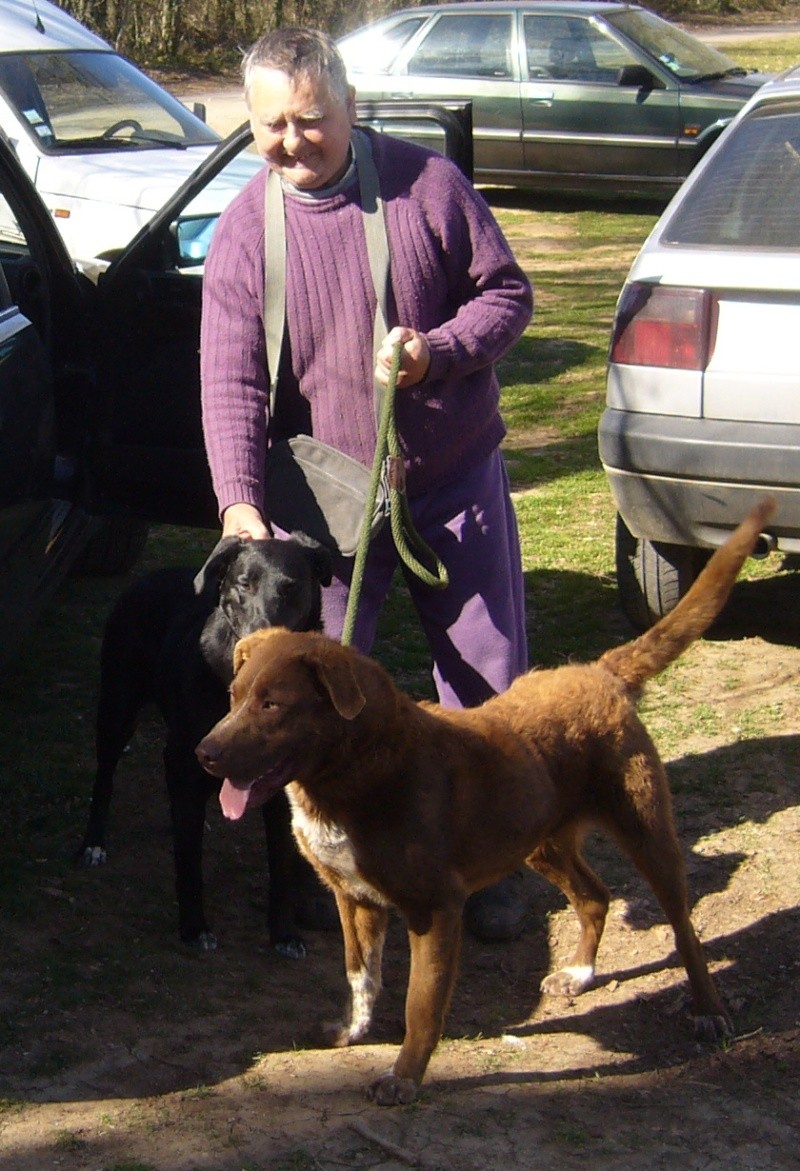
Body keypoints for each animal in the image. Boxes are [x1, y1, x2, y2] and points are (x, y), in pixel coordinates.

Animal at [77, 536, 332, 955]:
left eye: (292, 587)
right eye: (244, 583)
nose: (265, 638)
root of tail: (150, 576)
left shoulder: (281, 789)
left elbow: (281, 867)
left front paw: (284, 933)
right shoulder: (184, 764)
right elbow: (189, 860)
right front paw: (194, 927)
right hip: (118, 705)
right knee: (104, 777)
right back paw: (94, 842)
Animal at [195, 498, 777, 1100]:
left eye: (273, 705)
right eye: (234, 696)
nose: (203, 753)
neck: (354, 773)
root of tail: (598, 671)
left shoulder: (435, 907)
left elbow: (421, 1005)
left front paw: (404, 1078)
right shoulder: (352, 897)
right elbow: (361, 975)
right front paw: (351, 1033)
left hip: (646, 830)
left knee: (685, 930)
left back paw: (708, 1011)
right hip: (539, 839)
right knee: (595, 896)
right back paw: (579, 974)